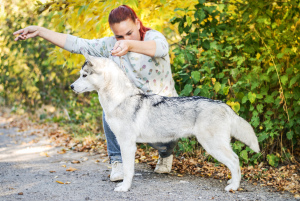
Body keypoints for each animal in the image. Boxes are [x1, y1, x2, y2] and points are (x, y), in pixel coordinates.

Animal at [71, 51, 260, 192]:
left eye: (84, 75)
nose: (71, 87)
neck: (120, 99)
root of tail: (223, 104)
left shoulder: (127, 144)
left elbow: (128, 170)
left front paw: (124, 188)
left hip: (213, 146)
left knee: (235, 161)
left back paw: (233, 186)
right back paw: (231, 182)